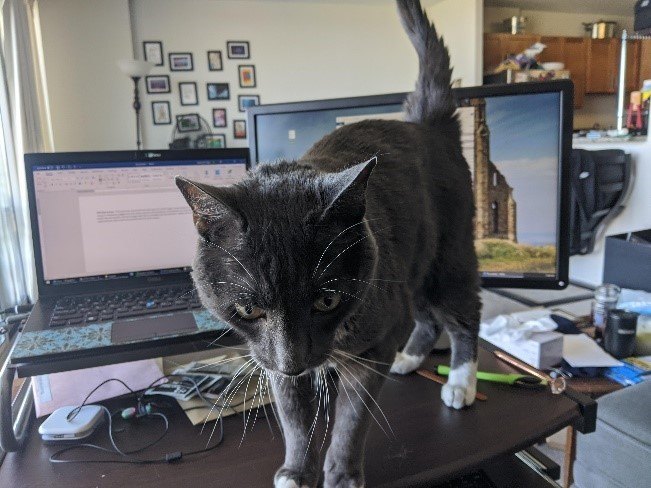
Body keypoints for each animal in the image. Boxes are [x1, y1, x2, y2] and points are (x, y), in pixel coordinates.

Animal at [176, 1, 482, 486]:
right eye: (247, 310)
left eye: (327, 300)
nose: (295, 361)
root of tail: (427, 124)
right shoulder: (268, 356)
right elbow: (293, 417)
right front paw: (295, 472)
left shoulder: (371, 347)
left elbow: (352, 420)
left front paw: (341, 475)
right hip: (409, 264)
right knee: (425, 316)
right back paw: (408, 359)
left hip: (447, 254)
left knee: (462, 312)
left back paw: (459, 383)